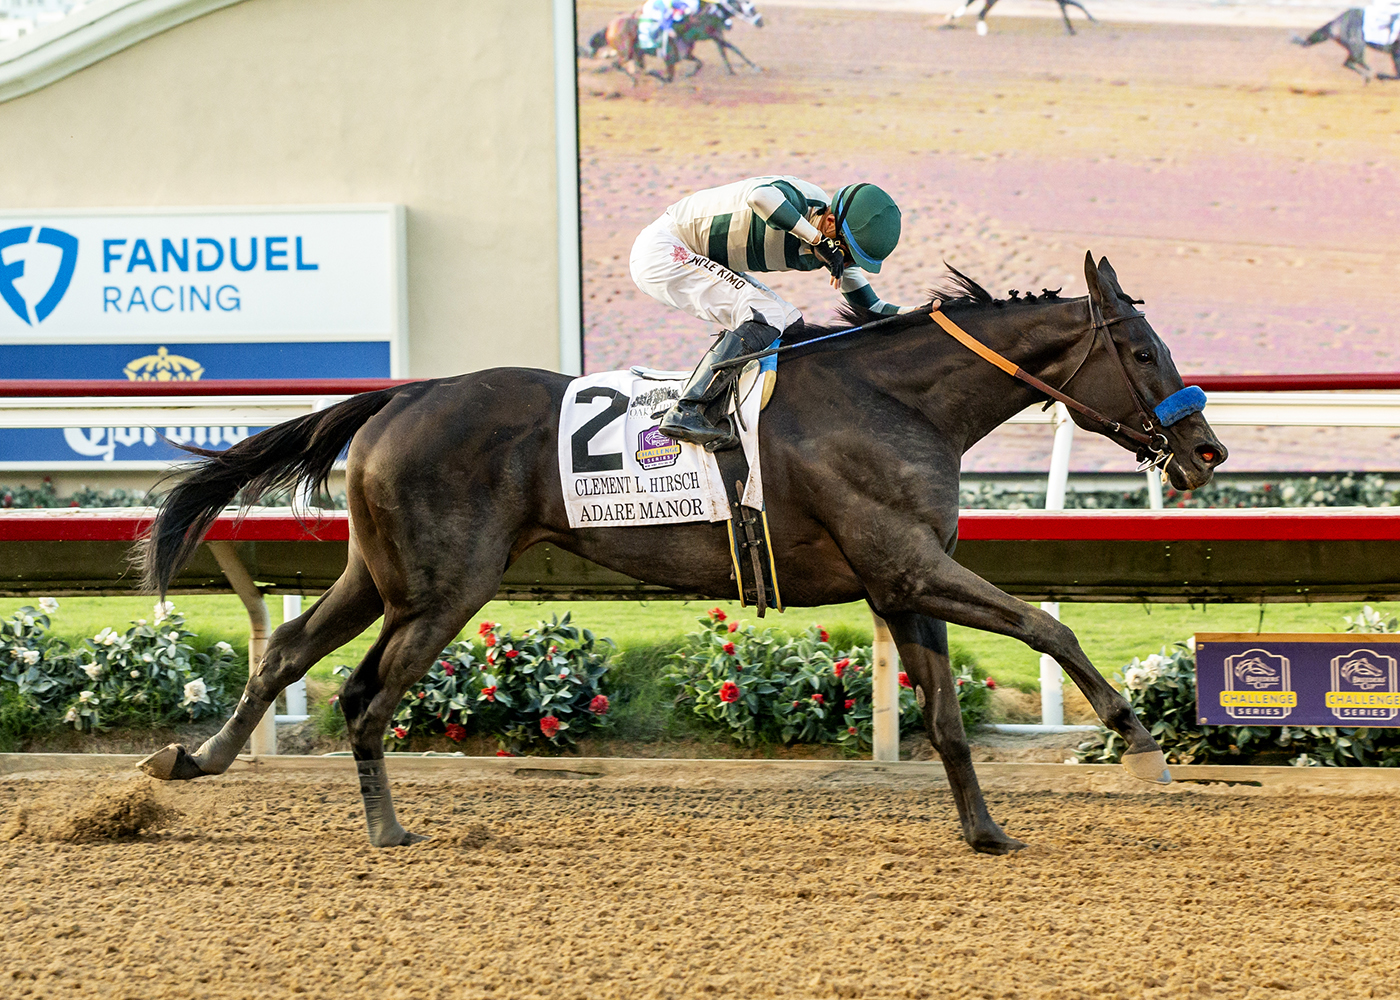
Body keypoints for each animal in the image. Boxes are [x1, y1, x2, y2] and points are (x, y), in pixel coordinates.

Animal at [133, 253, 1226, 851]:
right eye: (1139, 351)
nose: (1206, 448)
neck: (894, 399)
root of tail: (403, 395)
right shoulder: (908, 566)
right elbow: (1047, 624)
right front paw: (1137, 742)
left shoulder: (898, 583)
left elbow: (951, 722)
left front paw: (986, 832)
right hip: (445, 586)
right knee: (366, 696)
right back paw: (384, 827)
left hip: (382, 573)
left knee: (287, 650)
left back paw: (192, 758)